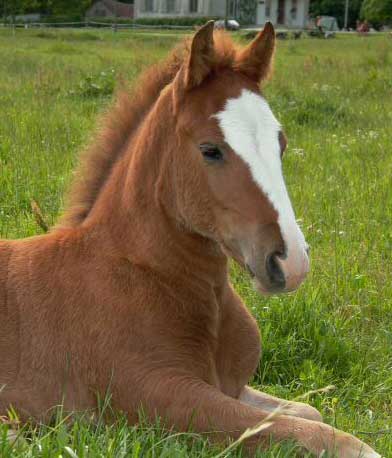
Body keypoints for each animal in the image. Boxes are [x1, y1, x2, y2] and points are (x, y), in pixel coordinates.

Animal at [0, 23, 380, 456]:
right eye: (210, 149)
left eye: (280, 144)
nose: (291, 261)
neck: (142, 272)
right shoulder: (164, 397)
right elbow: (318, 434)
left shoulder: (232, 386)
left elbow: (307, 413)